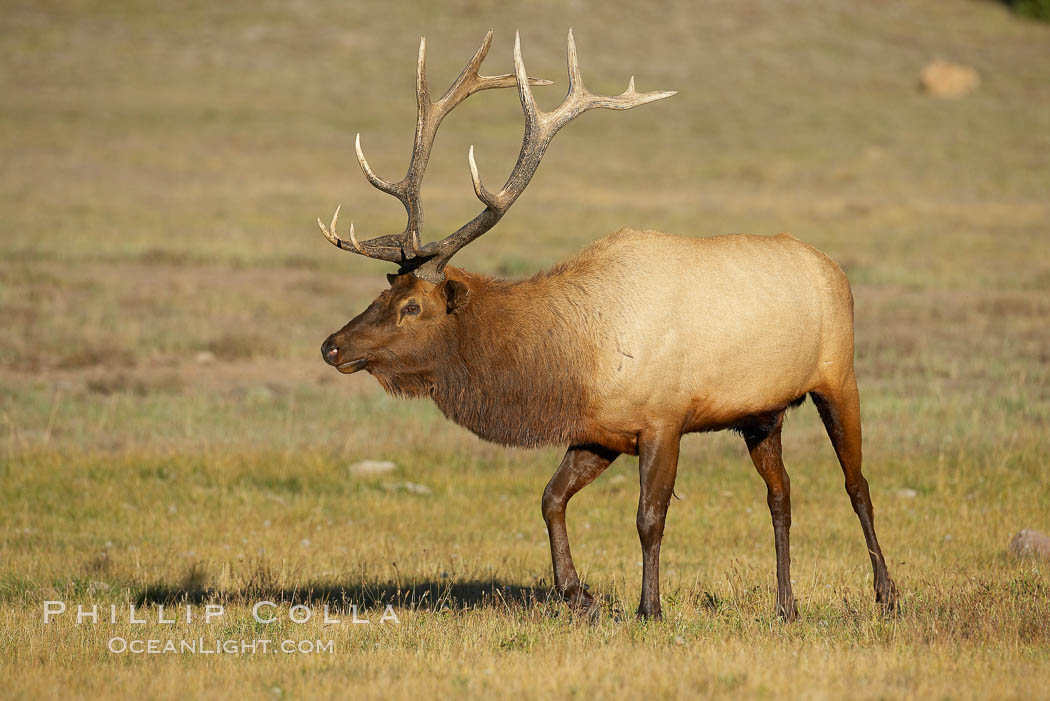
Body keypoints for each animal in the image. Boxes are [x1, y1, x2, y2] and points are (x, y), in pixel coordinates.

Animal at [315, 30, 898, 617]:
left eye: (413, 306)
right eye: (385, 291)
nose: (332, 346)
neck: (572, 358)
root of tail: (835, 270)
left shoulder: (664, 419)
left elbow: (648, 518)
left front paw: (649, 607)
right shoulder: (598, 432)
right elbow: (550, 498)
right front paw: (578, 593)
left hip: (838, 378)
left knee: (858, 485)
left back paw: (886, 593)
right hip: (762, 414)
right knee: (781, 495)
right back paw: (785, 605)